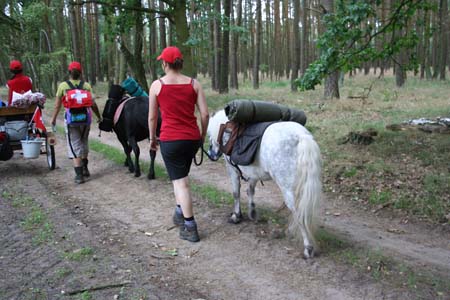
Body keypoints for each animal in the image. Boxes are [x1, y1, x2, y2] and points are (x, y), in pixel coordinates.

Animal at [207, 110, 324, 258]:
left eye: (209, 136)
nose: (210, 154)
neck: (228, 131)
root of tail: (301, 136)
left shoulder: (232, 169)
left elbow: (236, 193)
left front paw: (236, 216)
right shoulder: (255, 173)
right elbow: (250, 190)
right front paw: (252, 213)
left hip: (289, 190)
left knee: (300, 214)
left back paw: (308, 248)